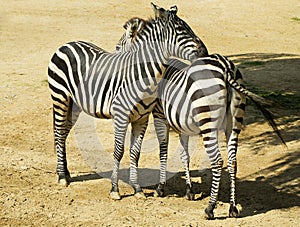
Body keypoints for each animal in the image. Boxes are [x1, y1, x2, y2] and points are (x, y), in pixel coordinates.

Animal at [48, 2, 207, 200]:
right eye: (181, 30)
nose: (205, 52)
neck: (145, 76)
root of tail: (67, 44)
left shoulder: (142, 119)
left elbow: (135, 152)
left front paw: (137, 189)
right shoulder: (121, 116)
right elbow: (118, 151)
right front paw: (115, 189)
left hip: (75, 105)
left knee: (63, 133)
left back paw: (64, 173)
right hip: (60, 97)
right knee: (58, 132)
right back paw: (62, 177)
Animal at [115, 19, 286, 218]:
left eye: (119, 47)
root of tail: (225, 66)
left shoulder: (160, 116)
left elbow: (163, 152)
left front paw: (160, 188)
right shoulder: (182, 125)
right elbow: (185, 155)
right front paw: (189, 191)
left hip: (208, 123)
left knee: (217, 161)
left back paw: (210, 208)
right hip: (234, 122)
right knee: (233, 161)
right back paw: (233, 208)